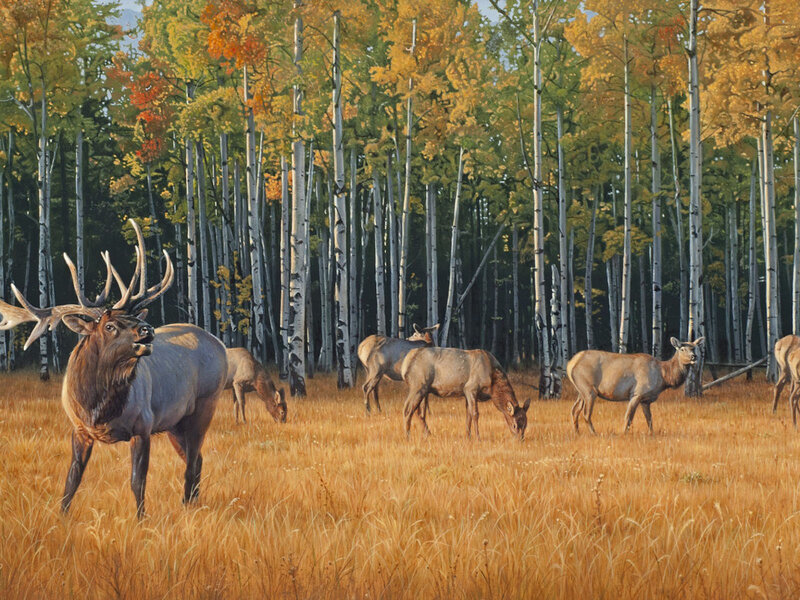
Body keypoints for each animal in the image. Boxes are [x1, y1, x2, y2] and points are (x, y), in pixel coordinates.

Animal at [0, 220, 228, 519]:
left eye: (133, 317)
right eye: (109, 325)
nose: (148, 330)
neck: (98, 408)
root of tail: (221, 346)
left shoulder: (143, 425)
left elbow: (137, 481)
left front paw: (141, 519)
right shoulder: (79, 429)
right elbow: (72, 478)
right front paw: (61, 516)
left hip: (205, 405)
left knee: (192, 462)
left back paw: (187, 506)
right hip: (174, 423)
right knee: (197, 459)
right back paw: (192, 503)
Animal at [400, 347, 530, 440]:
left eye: (526, 424)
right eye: (514, 425)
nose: (520, 439)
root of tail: (404, 365)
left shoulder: (466, 394)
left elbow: (468, 416)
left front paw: (468, 436)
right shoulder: (470, 388)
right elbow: (475, 414)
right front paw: (478, 437)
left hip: (425, 390)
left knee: (420, 413)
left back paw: (429, 434)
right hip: (418, 385)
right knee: (407, 409)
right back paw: (407, 436)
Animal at [566, 337, 705, 435]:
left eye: (694, 348)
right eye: (682, 349)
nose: (694, 356)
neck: (663, 377)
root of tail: (570, 364)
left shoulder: (646, 400)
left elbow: (649, 419)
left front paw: (651, 434)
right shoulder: (637, 393)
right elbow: (628, 417)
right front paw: (624, 434)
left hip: (581, 390)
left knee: (574, 410)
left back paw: (577, 432)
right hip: (589, 390)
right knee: (585, 413)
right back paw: (593, 433)